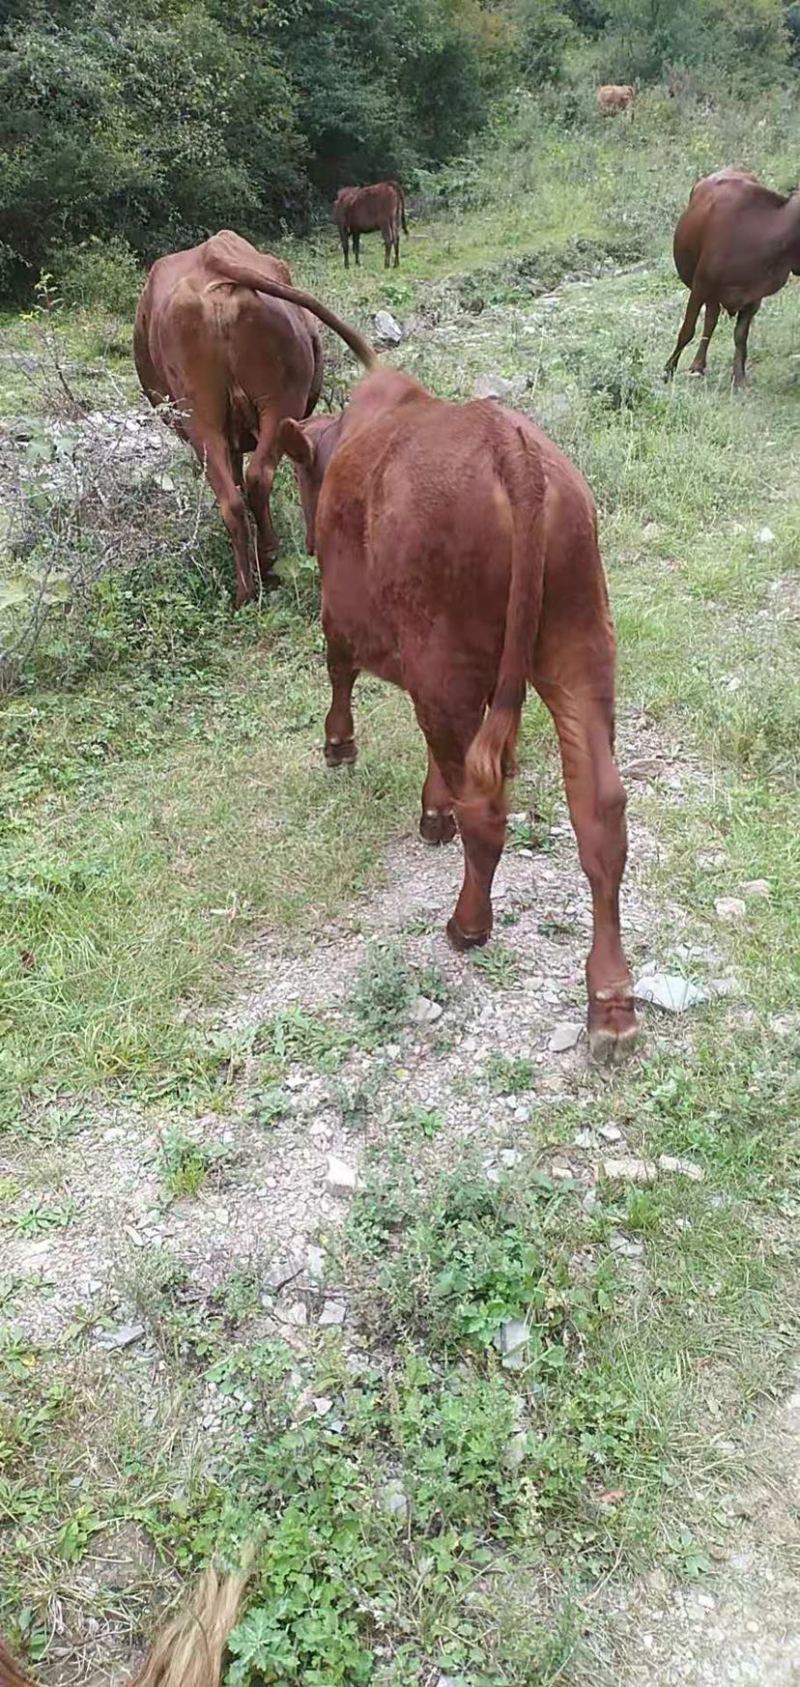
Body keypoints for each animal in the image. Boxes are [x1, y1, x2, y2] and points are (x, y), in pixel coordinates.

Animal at [135, 231, 374, 607]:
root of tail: (211, 255)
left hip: (213, 416)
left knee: (246, 487)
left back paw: (257, 574)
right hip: (256, 410)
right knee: (246, 489)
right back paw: (255, 578)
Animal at [661, 167, 800, 386]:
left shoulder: (754, 295)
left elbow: (740, 336)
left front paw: (739, 378)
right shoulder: (700, 285)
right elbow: (687, 330)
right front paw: (668, 371)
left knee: (711, 319)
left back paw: (698, 365)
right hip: (708, 289)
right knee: (709, 320)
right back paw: (696, 366)